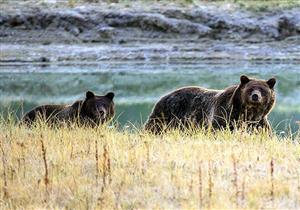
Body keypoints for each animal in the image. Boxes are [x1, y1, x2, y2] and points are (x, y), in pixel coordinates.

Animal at [145, 75, 276, 134]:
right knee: (153, 127)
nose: (255, 96)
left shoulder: (259, 123)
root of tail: (163, 96)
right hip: (167, 114)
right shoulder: (224, 115)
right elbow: (218, 129)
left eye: (262, 90)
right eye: (250, 89)